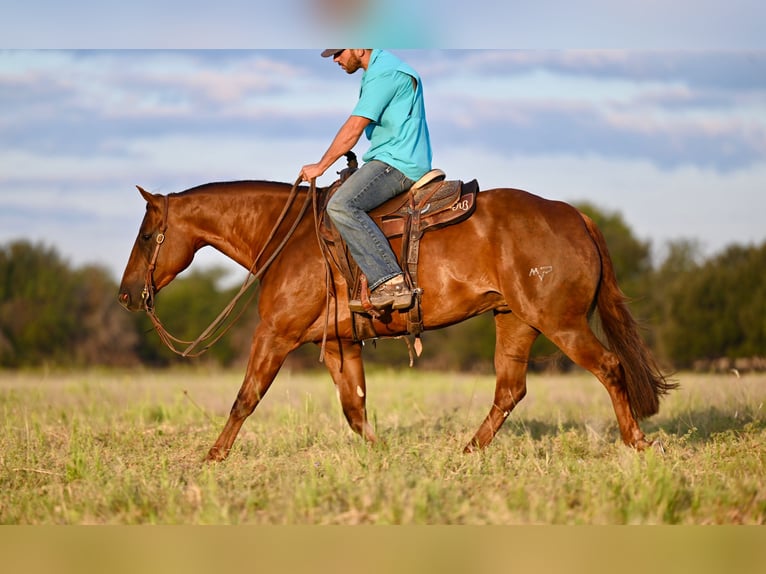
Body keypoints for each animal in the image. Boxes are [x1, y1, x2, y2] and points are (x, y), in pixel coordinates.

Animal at [118, 180, 680, 464]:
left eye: (146, 236)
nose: (126, 294)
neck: (290, 237)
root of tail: (574, 215)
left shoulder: (274, 335)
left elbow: (246, 398)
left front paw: (213, 457)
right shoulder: (338, 345)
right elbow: (355, 408)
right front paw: (381, 455)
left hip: (560, 323)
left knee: (609, 367)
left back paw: (638, 444)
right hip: (514, 321)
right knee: (509, 390)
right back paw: (467, 452)